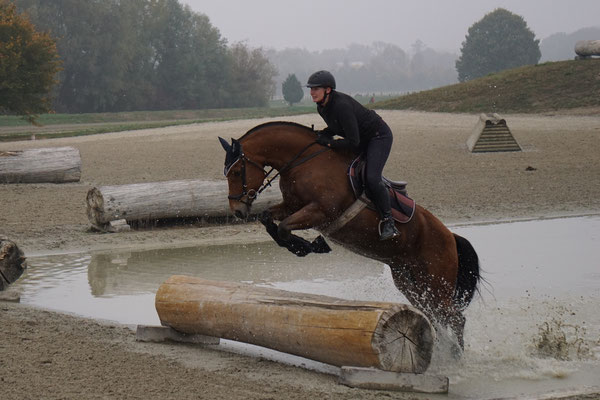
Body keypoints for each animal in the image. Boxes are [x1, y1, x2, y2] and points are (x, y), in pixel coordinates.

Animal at [218, 120, 480, 348]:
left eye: (236, 171)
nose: (237, 211)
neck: (303, 161)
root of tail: (450, 236)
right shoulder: (292, 206)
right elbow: (268, 219)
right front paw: (304, 245)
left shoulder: (320, 211)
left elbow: (283, 229)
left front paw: (310, 246)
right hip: (410, 282)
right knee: (435, 316)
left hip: (435, 281)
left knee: (455, 318)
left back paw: (456, 356)